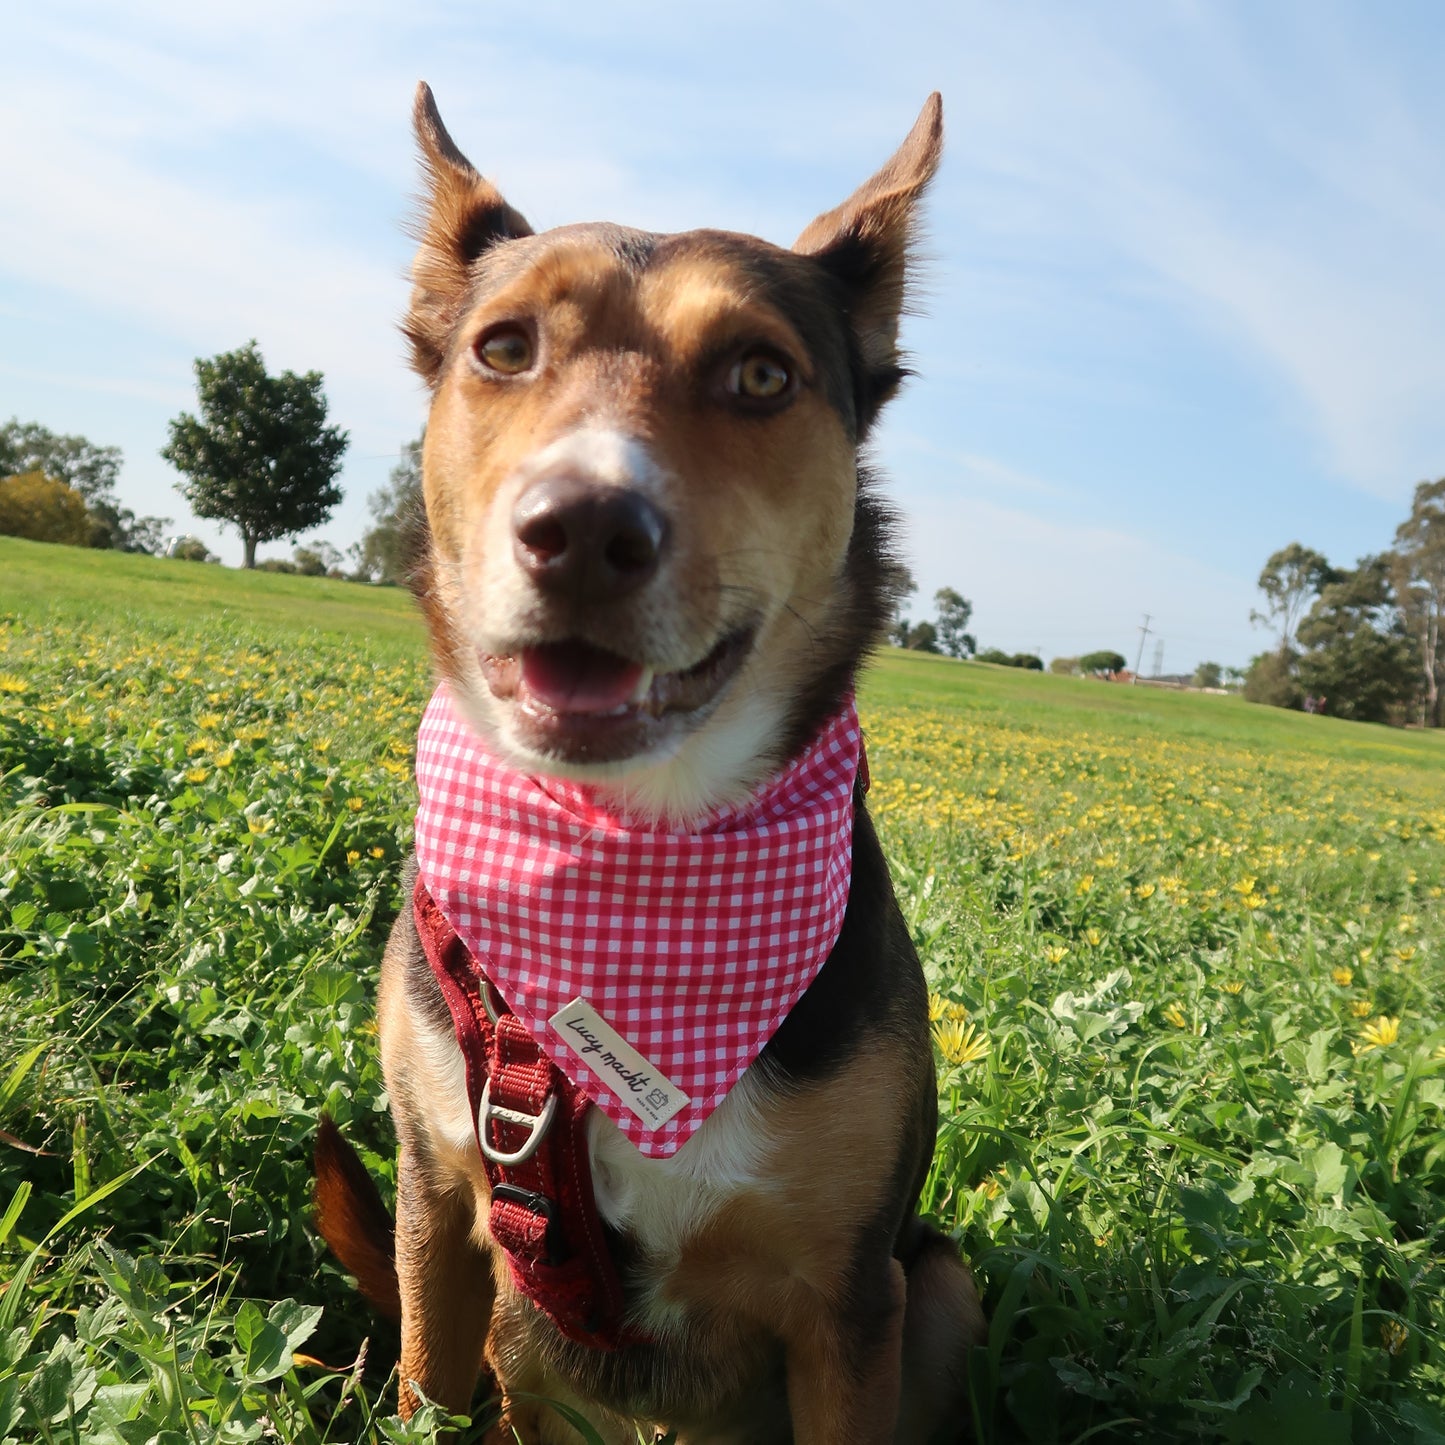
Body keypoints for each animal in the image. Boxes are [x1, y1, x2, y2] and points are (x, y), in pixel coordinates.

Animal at [316, 82, 988, 1445]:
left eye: (760, 372)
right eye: (503, 348)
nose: (579, 529)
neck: (624, 849)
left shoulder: (851, 1299)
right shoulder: (437, 1208)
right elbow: (425, 1384)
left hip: (939, 1281)